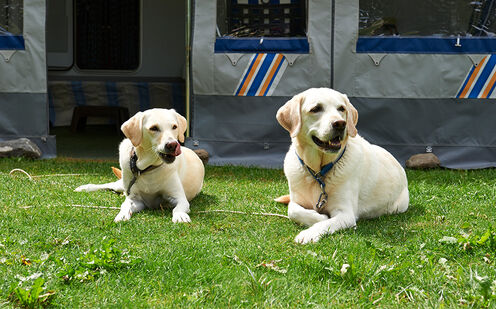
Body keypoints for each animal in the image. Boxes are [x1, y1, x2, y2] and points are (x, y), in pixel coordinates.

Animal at [75, 107, 203, 221]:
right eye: (154, 128)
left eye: (174, 127)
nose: (173, 145)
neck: (146, 168)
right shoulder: (134, 197)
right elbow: (125, 205)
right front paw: (122, 215)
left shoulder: (179, 197)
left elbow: (178, 208)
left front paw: (180, 216)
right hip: (122, 185)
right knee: (109, 185)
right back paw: (84, 187)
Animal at [276, 88, 406, 244]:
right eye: (316, 109)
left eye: (341, 108)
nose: (340, 124)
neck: (319, 172)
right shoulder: (296, 201)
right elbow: (293, 211)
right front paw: (319, 216)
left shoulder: (346, 214)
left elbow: (325, 223)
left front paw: (309, 233)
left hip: (399, 206)